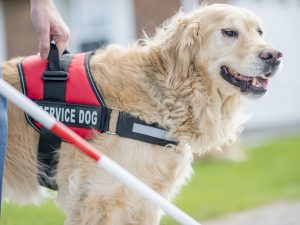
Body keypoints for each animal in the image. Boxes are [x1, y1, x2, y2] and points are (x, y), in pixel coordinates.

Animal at [1, 3, 282, 225]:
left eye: (259, 31)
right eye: (229, 32)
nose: (275, 56)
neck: (165, 92)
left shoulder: (145, 201)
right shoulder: (101, 198)